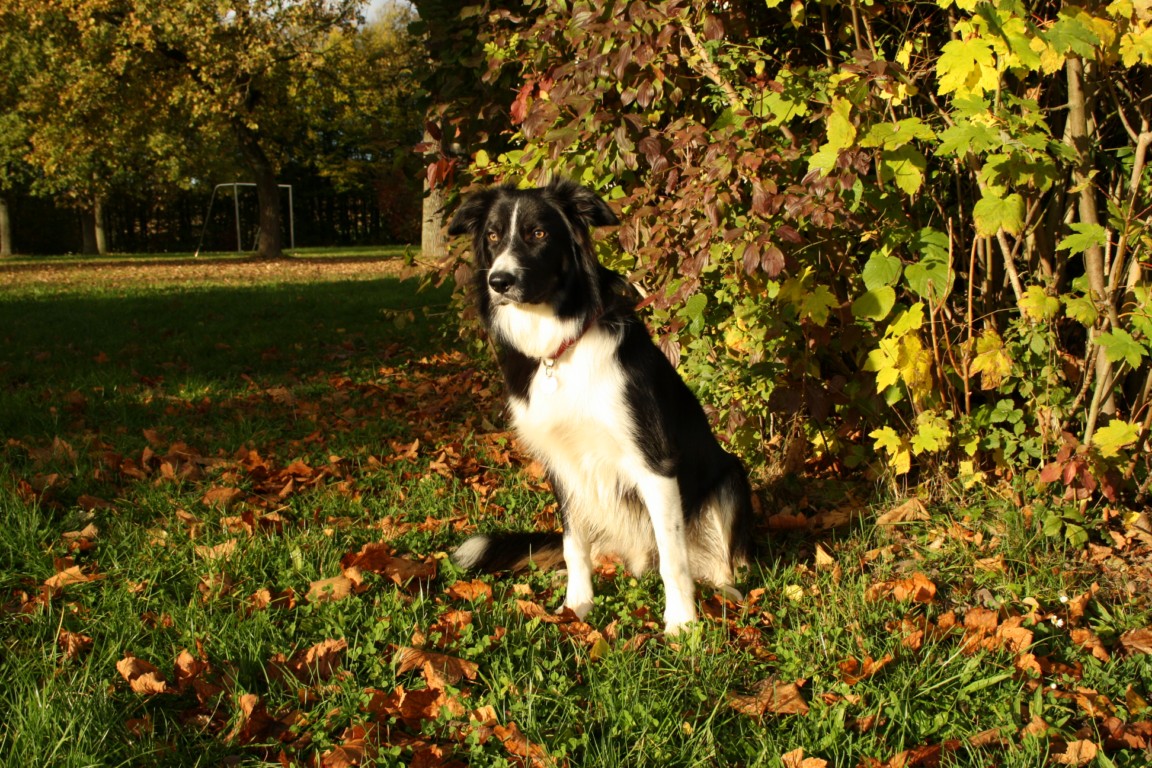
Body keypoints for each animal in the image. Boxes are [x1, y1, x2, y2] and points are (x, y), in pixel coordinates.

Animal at [444, 180, 751, 635]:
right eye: (493, 236)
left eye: (539, 234)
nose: (500, 281)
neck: (558, 348)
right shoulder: (562, 466)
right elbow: (574, 546)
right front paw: (577, 606)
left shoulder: (653, 460)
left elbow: (673, 558)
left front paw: (681, 623)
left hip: (731, 476)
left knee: (716, 562)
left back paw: (725, 592)